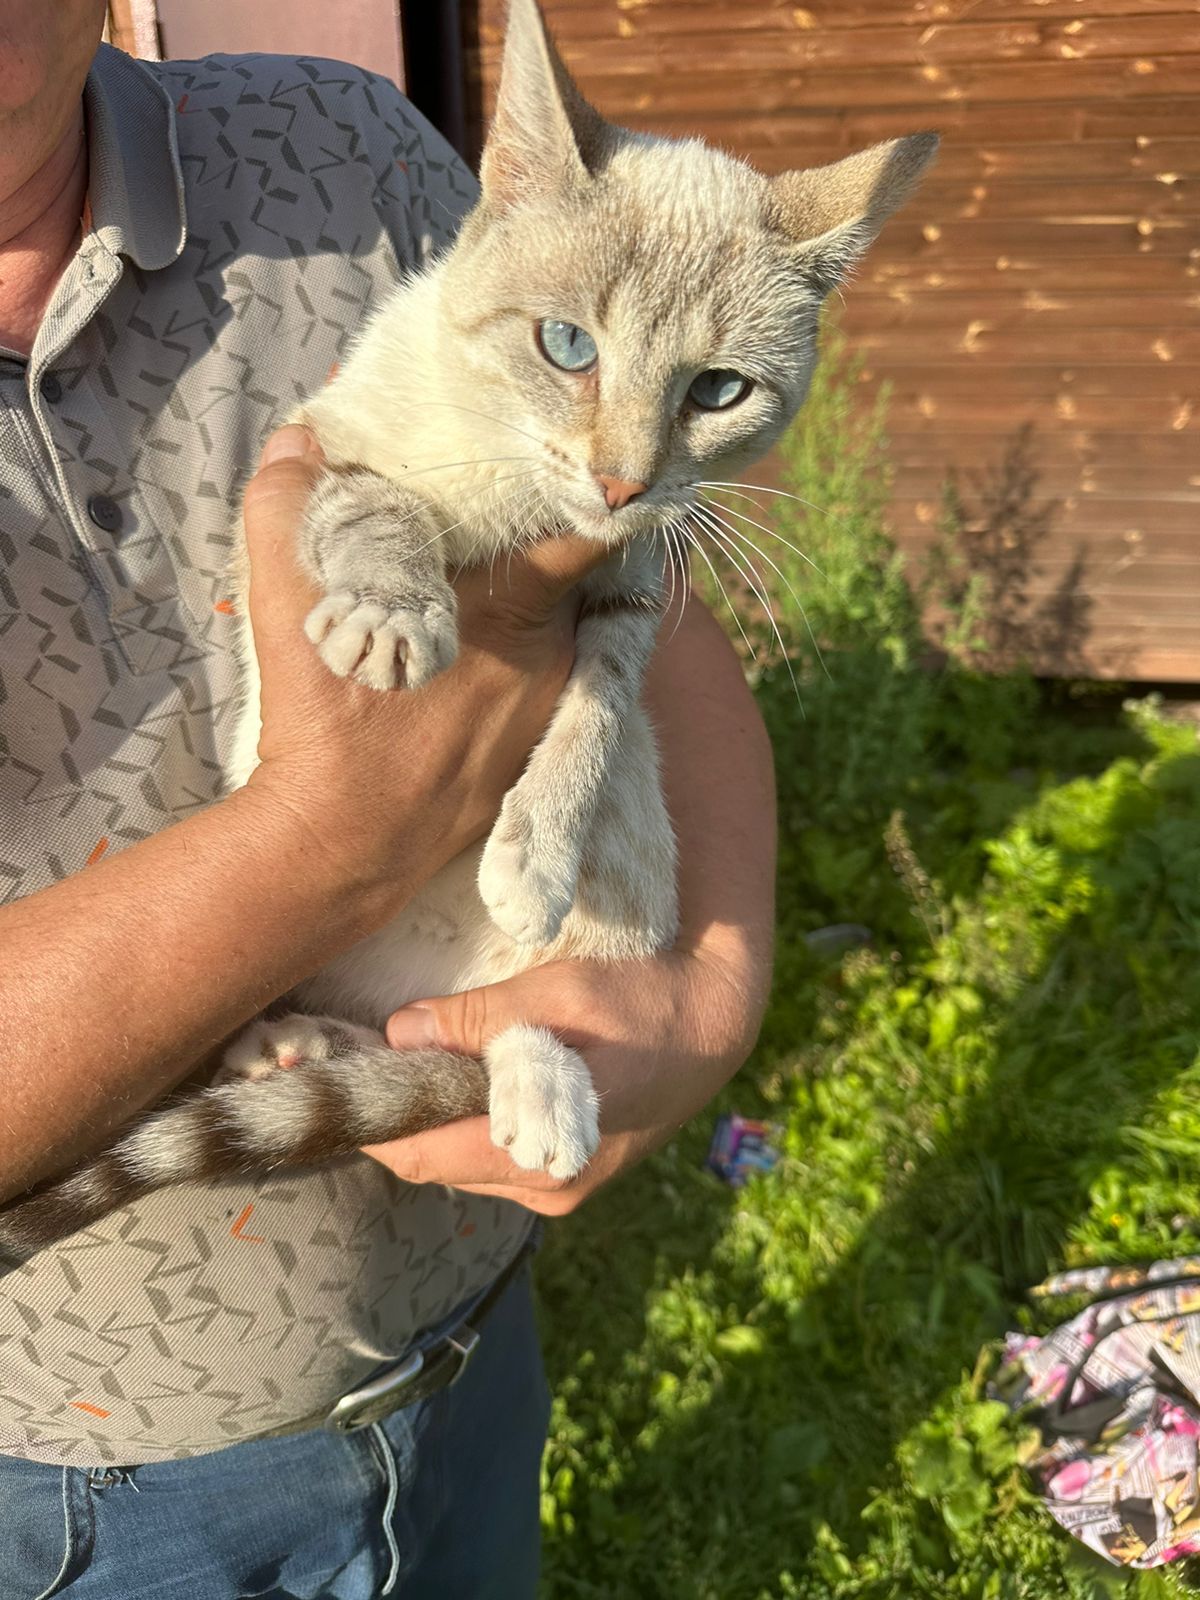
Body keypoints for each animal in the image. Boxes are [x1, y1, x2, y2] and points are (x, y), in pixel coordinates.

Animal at [0, 0, 940, 1260]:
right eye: (568, 346)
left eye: (717, 392)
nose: (620, 479)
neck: (518, 505)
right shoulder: (313, 453)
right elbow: (379, 507)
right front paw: (394, 616)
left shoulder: (631, 585)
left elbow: (594, 712)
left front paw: (532, 847)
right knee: (391, 1048)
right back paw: (288, 1044)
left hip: (599, 939)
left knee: (486, 1033)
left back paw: (531, 1086)